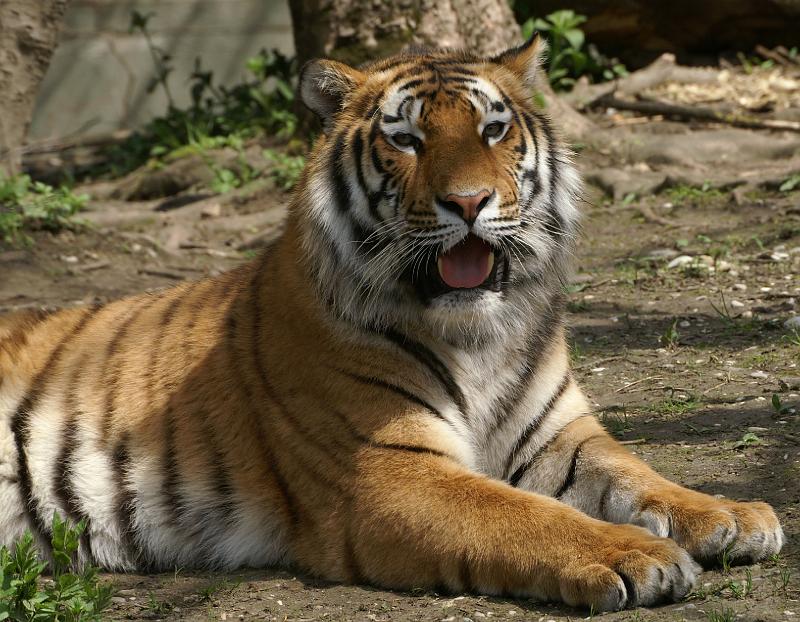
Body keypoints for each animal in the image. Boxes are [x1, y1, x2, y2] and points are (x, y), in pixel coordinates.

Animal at [0, 35, 784, 616]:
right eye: (405, 140)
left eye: (493, 130)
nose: (467, 202)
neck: (479, 336)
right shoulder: (385, 471)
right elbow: (521, 516)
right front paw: (635, 554)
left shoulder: (560, 437)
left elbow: (639, 473)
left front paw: (731, 514)